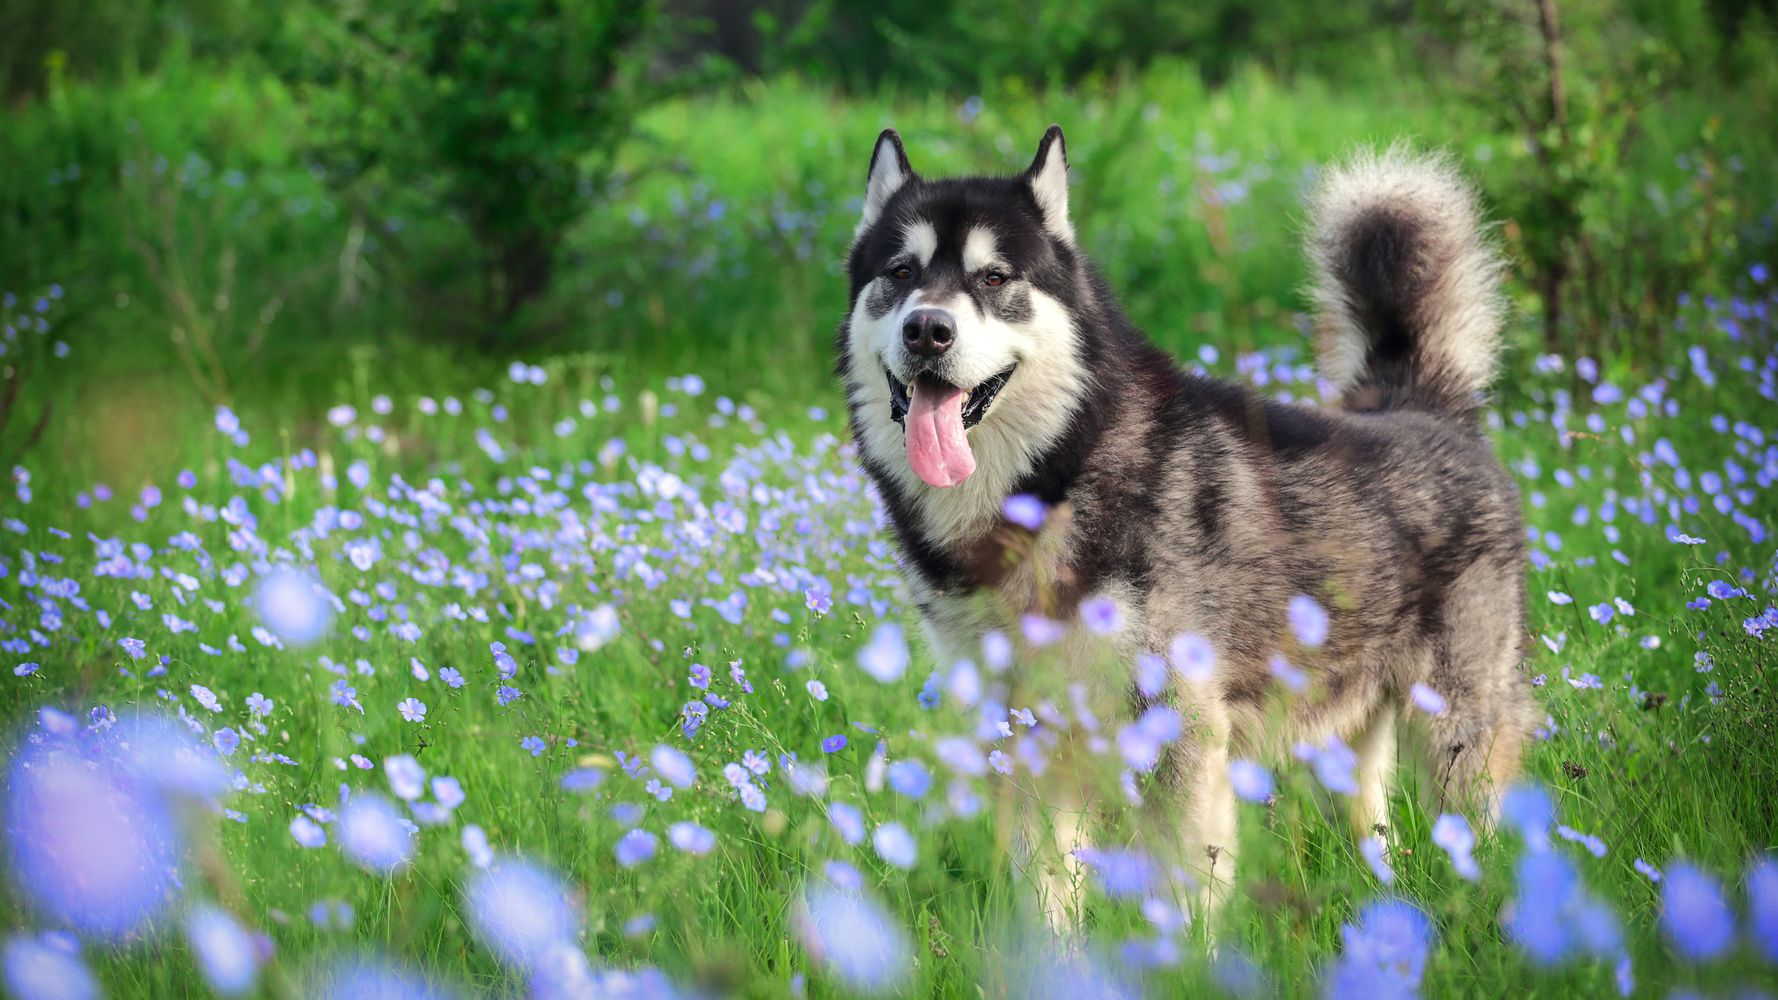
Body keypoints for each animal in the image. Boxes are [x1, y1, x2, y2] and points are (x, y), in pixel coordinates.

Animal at [839, 128, 1536, 925]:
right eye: (900, 271)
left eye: (993, 278)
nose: (928, 329)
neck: (1057, 479)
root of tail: (1418, 405)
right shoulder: (1027, 738)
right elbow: (1046, 902)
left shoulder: (1180, 734)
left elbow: (1182, 895)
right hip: (1346, 739)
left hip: (1459, 737)